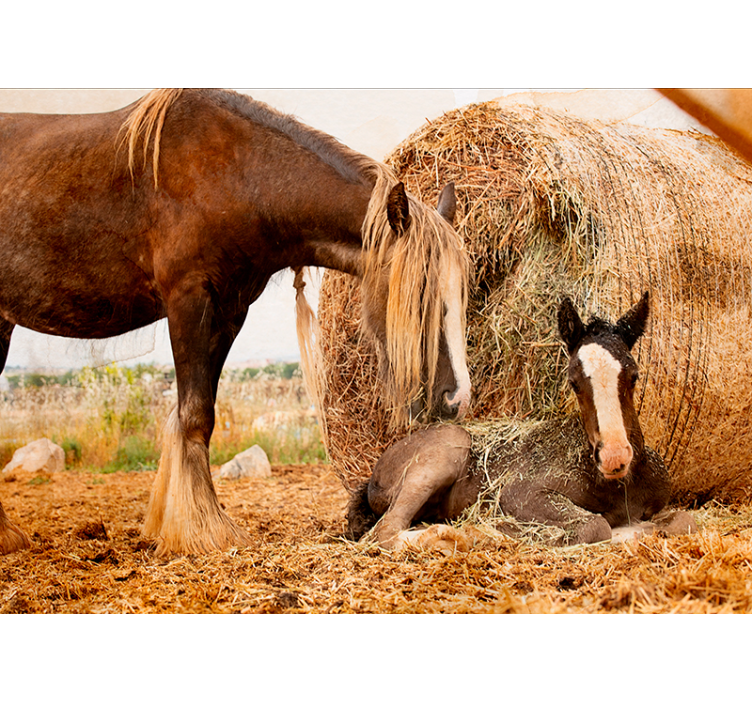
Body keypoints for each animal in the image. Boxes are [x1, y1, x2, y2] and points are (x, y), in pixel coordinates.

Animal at [0, 89, 471, 556]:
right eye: (421, 294)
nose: (455, 399)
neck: (239, 175)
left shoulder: (229, 311)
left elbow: (199, 413)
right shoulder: (188, 298)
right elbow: (193, 415)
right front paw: (201, 531)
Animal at [347, 292, 697, 551]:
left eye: (634, 375)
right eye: (573, 382)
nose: (614, 456)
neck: (619, 484)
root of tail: (374, 474)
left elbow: (686, 522)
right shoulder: (522, 494)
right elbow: (597, 526)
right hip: (443, 455)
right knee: (386, 530)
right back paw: (464, 535)